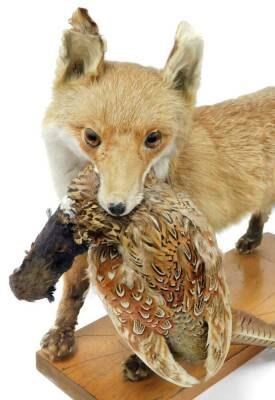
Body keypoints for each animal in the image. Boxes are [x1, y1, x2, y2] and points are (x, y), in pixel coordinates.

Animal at [41, 8, 275, 366]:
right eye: (91, 137)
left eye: (153, 138)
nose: (117, 207)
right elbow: (72, 291)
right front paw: (61, 334)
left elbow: (166, 309)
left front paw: (146, 362)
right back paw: (252, 238)